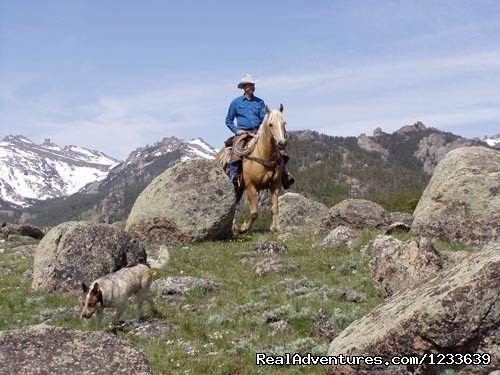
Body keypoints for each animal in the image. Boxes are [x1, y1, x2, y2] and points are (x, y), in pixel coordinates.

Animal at [216, 106, 288, 234]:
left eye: (284, 123)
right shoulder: (251, 186)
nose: (281, 143)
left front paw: (277, 228)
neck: (264, 155)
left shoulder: (276, 185)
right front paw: (244, 228)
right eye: (270, 124)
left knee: (235, 205)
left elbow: (275, 208)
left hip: (238, 188)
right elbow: (254, 212)